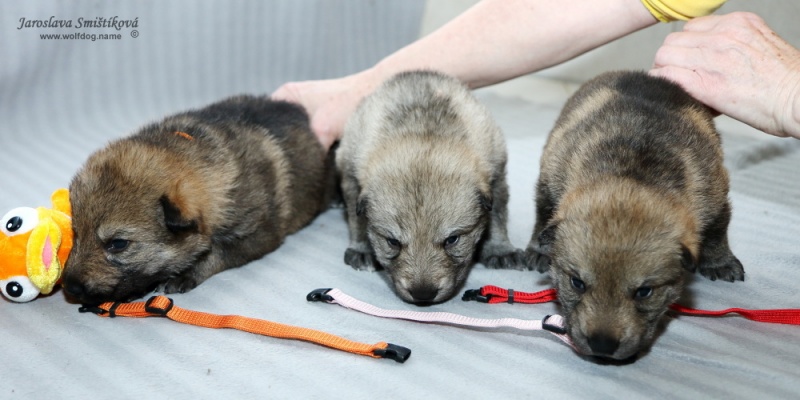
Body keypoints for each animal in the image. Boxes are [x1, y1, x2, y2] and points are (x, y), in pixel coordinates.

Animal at [62, 96, 334, 304]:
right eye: (76, 233)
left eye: (118, 244)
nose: (70, 287)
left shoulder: (257, 235)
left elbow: (217, 253)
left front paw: (186, 273)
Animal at [338, 70, 524, 304]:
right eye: (392, 242)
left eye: (452, 240)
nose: (423, 294)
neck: (423, 134)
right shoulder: (351, 171)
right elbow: (357, 221)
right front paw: (362, 248)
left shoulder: (496, 172)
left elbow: (497, 218)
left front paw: (499, 248)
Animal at [524, 70, 744, 360]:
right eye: (577, 283)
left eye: (644, 292)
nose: (602, 345)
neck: (632, 174)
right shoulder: (553, 177)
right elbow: (545, 213)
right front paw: (540, 248)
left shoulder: (715, 196)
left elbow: (718, 231)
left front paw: (720, 262)